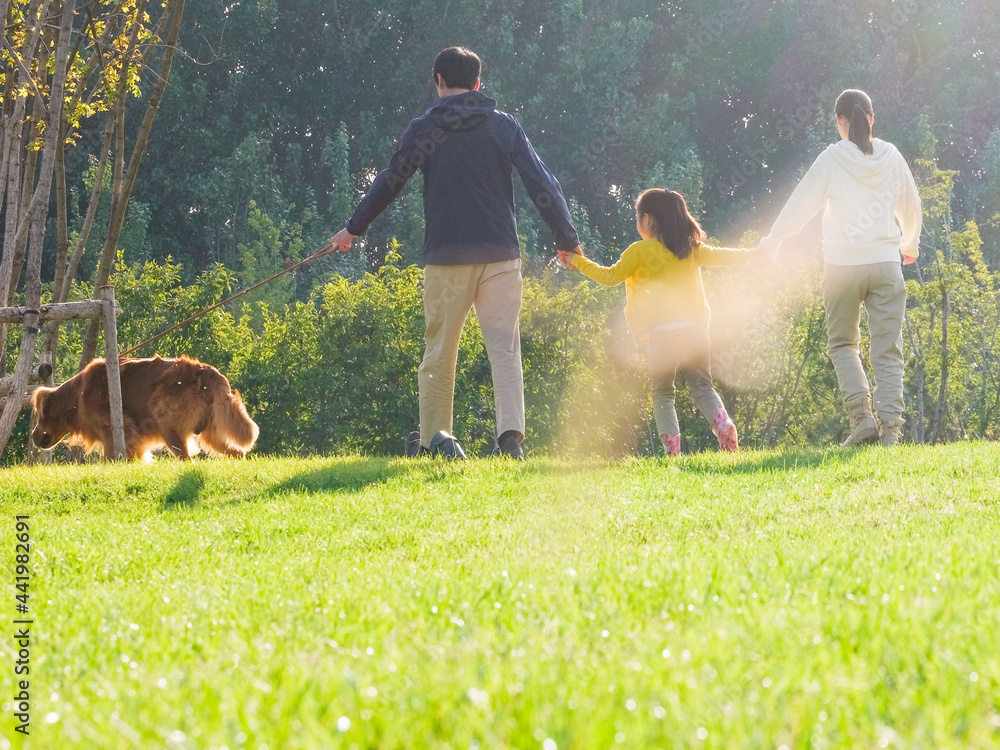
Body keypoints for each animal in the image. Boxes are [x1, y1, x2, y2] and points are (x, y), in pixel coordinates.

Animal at [34, 356, 262, 462]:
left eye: (40, 417)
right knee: (238, 453)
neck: (78, 396)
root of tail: (205, 371)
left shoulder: (116, 432)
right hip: (211, 434)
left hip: (169, 427)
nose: (33, 436)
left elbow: (110, 458)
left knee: (187, 459)